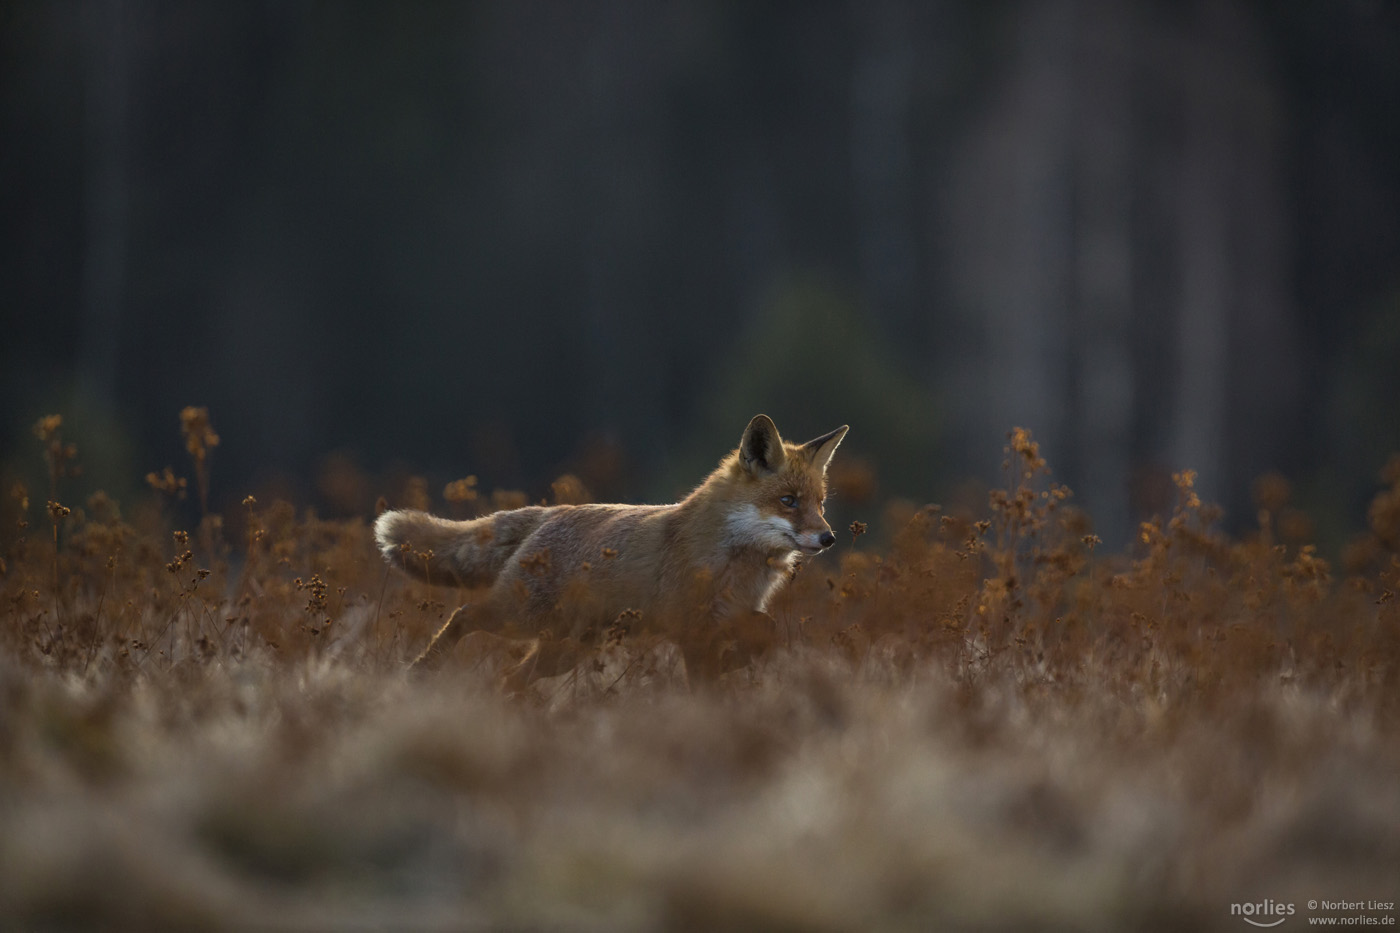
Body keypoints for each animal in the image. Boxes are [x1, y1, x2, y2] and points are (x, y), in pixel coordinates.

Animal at [372, 414, 845, 675]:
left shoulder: (732, 618)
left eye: (820, 504)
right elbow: (705, 683)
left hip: (565, 650)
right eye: (788, 501)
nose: (828, 537)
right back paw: (420, 670)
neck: (735, 563)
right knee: (462, 614)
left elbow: (768, 633)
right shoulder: (692, 631)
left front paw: (736, 663)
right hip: (519, 618)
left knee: (511, 678)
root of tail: (550, 512)